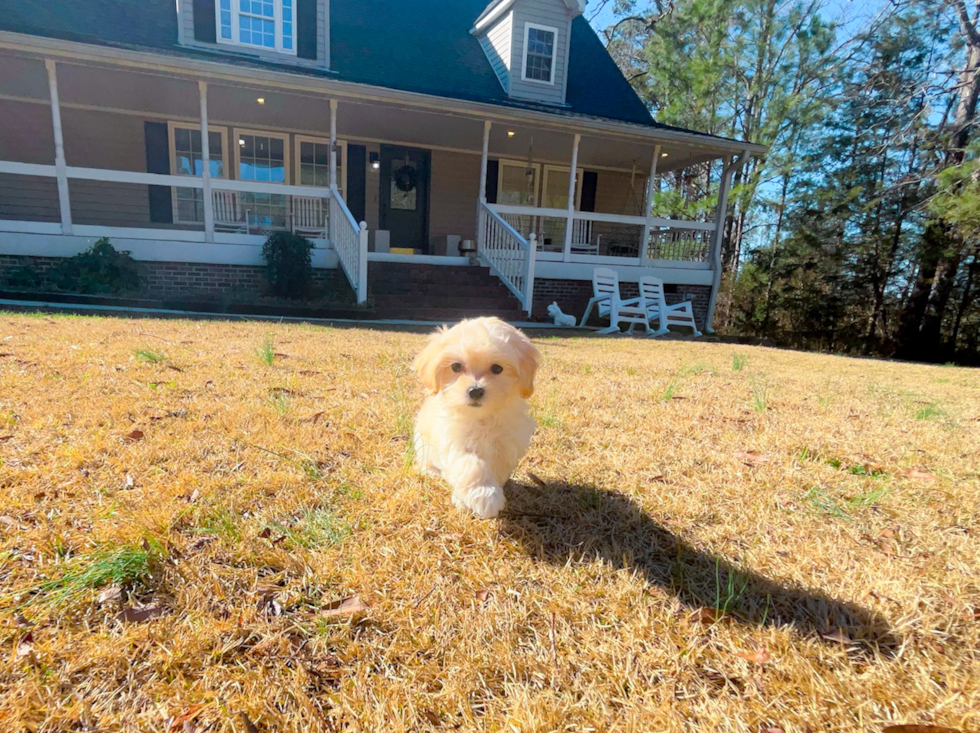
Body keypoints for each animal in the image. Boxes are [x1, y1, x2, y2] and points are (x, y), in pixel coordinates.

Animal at [410, 318, 540, 516]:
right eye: (456, 366)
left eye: (497, 368)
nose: (475, 391)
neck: (481, 418)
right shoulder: (454, 440)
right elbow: (471, 464)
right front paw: (484, 494)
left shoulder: (507, 445)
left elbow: (496, 468)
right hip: (422, 442)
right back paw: (430, 471)